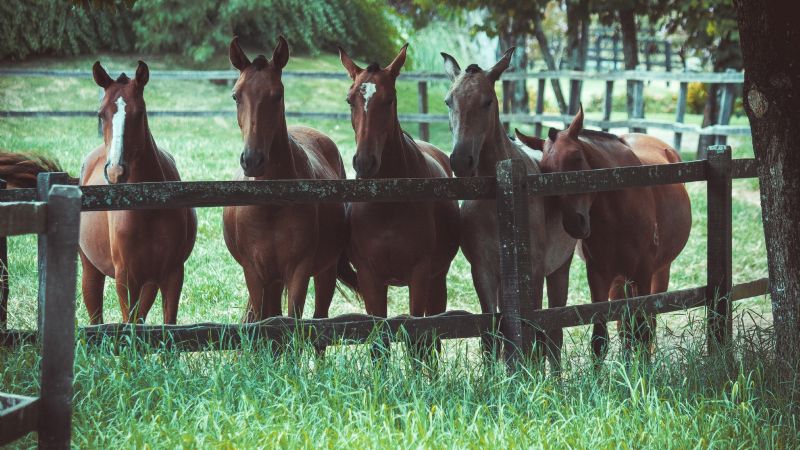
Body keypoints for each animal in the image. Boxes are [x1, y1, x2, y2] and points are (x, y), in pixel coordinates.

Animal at [80, 60, 197, 324]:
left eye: (140, 112)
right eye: (100, 114)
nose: (115, 171)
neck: (148, 206)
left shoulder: (172, 274)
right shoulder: (125, 278)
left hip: (149, 283)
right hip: (91, 271)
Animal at [223, 36, 353, 322]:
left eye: (277, 95)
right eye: (236, 96)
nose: (252, 159)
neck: (272, 204)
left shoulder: (299, 271)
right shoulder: (255, 273)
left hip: (324, 272)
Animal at [338, 44, 460, 345]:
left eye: (389, 99)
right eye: (349, 100)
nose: (364, 162)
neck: (388, 203)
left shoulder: (420, 274)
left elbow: (418, 336)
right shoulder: (370, 277)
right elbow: (378, 340)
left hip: (437, 278)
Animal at [441, 49, 576, 369]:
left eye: (487, 101)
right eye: (449, 101)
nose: (461, 161)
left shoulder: (534, 272)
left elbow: (535, 334)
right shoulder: (483, 271)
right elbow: (492, 334)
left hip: (559, 269)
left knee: (554, 333)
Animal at [515, 106, 692, 360]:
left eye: (577, 158)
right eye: (545, 171)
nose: (574, 223)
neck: (619, 211)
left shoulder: (643, 273)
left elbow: (643, 330)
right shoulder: (599, 275)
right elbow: (600, 339)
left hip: (659, 272)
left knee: (647, 324)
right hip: (620, 281)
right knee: (625, 327)